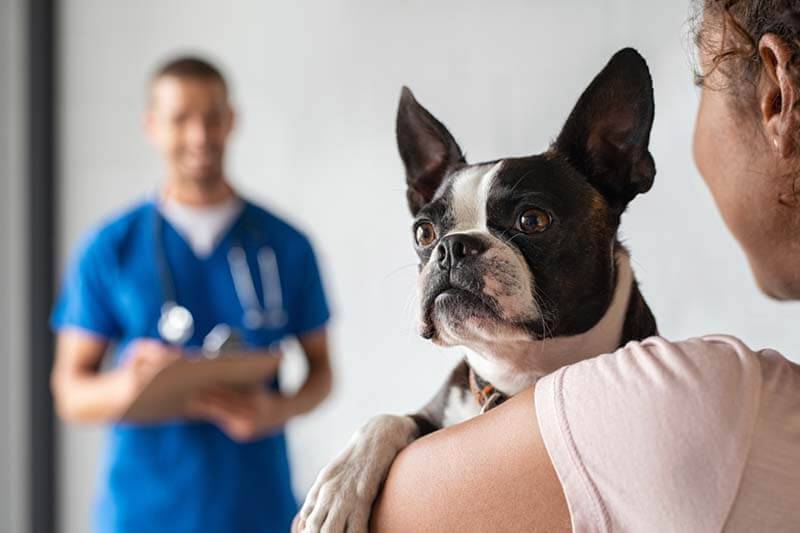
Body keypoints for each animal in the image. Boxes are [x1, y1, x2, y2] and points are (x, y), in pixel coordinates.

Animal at [296, 47, 660, 528]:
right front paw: (338, 489)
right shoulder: (432, 413)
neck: (513, 373)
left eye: (533, 219)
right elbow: (387, 419)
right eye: (424, 232)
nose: (451, 247)